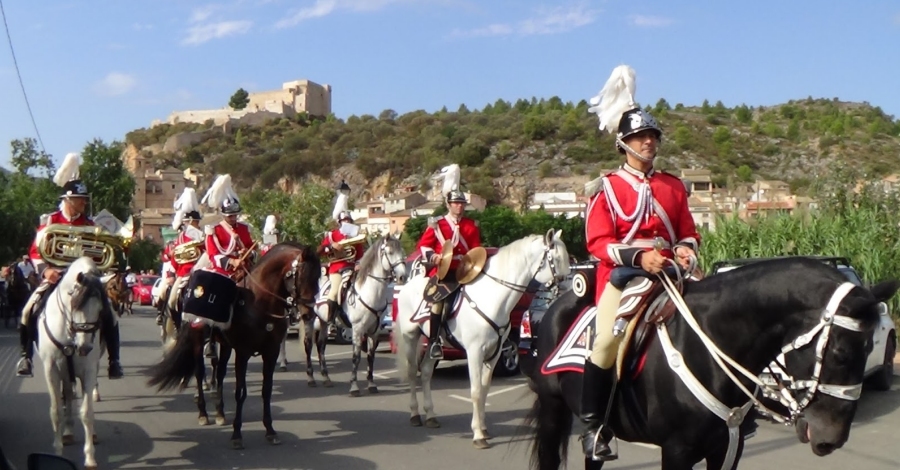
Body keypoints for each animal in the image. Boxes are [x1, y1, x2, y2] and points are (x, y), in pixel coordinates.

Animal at [37, 258, 107, 470]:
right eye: (75, 305)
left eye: (101, 310)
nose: (85, 347)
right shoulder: (51, 369)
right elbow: (56, 411)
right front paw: (57, 452)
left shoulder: (89, 370)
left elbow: (86, 412)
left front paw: (90, 457)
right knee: (67, 396)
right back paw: (67, 433)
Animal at [151, 244, 324, 450]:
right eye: (301, 275)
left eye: (318, 276)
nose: (308, 314)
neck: (260, 303)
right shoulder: (243, 352)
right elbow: (240, 392)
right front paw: (236, 434)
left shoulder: (271, 352)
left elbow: (267, 390)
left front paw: (270, 431)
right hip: (198, 339)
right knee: (199, 372)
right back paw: (203, 413)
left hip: (224, 344)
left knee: (220, 372)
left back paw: (220, 412)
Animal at [342, 235, 406, 396]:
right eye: (389, 252)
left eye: (402, 251)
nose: (402, 277)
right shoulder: (357, 330)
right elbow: (356, 357)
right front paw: (354, 386)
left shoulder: (374, 331)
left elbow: (371, 357)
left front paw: (371, 384)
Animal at [396, 229, 568, 450]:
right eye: (556, 258)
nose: (567, 290)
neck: (493, 298)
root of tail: (407, 285)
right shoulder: (474, 352)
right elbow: (476, 391)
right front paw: (478, 434)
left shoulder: (494, 352)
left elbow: (485, 390)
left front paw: (484, 428)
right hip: (411, 337)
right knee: (412, 373)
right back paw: (415, 414)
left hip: (435, 343)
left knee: (425, 373)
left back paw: (431, 416)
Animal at [528, 258, 900, 470]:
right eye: (840, 353)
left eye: (871, 347)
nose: (831, 440)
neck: (707, 346)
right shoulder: (676, 452)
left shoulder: (728, 448)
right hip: (553, 409)